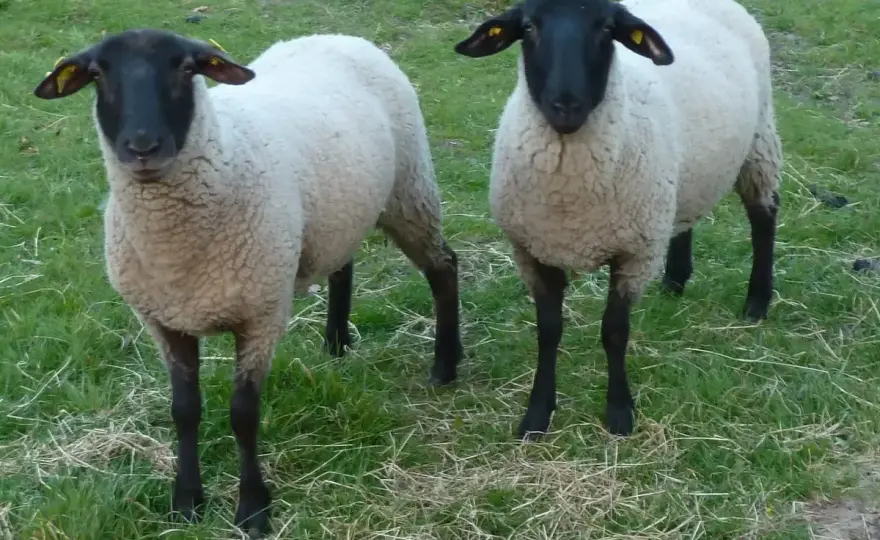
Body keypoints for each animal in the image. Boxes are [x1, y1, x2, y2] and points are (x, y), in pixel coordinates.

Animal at [34, 28, 464, 536]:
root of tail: (337, 35)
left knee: (444, 268)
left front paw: (253, 509)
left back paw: (445, 364)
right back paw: (336, 342)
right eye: (98, 74)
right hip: (339, 212)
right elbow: (184, 410)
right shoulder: (163, 322)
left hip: (410, 191)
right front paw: (187, 502)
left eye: (186, 68)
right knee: (344, 264)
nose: (142, 148)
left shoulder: (261, 315)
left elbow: (243, 415)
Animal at [453, 0, 782, 439]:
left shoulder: (633, 253)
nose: (567, 104)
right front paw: (537, 415)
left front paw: (620, 412)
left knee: (764, 216)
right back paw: (675, 281)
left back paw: (757, 300)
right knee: (684, 218)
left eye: (607, 28)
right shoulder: (534, 251)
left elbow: (614, 332)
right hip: (680, 179)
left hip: (760, 141)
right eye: (528, 26)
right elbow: (548, 331)